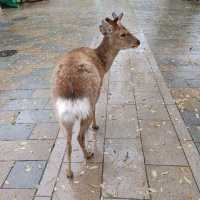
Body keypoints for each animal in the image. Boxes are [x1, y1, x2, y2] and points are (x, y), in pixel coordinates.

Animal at [52, 12, 139, 178]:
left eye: (127, 29)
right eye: (123, 33)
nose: (138, 42)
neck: (103, 64)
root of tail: (70, 90)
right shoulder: (98, 89)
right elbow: (95, 109)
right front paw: (95, 125)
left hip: (62, 114)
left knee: (68, 142)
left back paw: (69, 172)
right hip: (87, 102)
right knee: (79, 136)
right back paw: (88, 154)